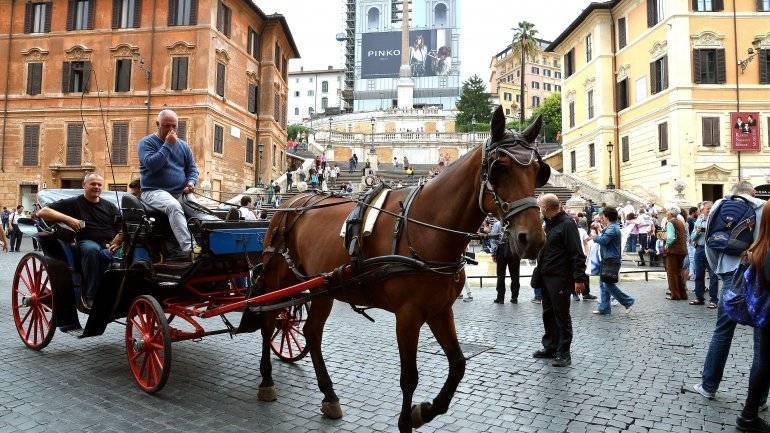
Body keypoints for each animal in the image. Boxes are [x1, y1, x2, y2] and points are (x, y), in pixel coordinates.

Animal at [255, 105, 544, 432]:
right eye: (499, 169)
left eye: (538, 170)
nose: (532, 238)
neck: (424, 229)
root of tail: (292, 204)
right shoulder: (408, 315)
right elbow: (409, 377)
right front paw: (408, 419)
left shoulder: (440, 309)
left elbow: (458, 364)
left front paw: (425, 410)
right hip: (278, 278)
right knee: (268, 321)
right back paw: (267, 381)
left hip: (323, 288)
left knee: (311, 333)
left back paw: (329, 396)